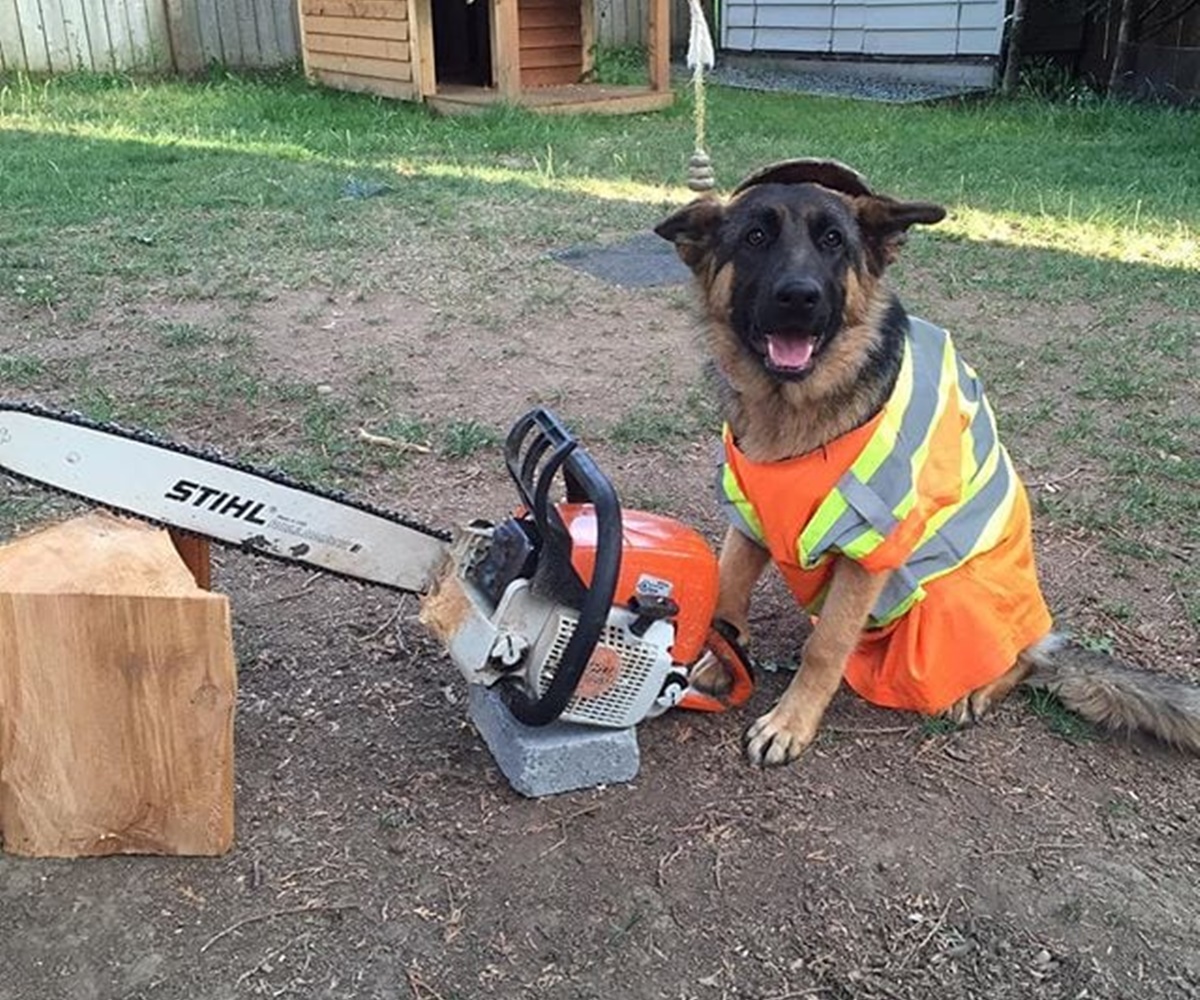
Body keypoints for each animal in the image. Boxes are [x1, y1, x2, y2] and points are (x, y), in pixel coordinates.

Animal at [657, 159, 1200, 763]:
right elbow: (729, 594)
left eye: (833, 241)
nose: (800, 297)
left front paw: (790, 721)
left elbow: (827, 646)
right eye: (755, 237)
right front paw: (722, 663)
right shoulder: (748, 516)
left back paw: (978, 690)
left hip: (952, 600)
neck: (794, 414)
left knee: (1022, 658)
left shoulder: (868, 544)